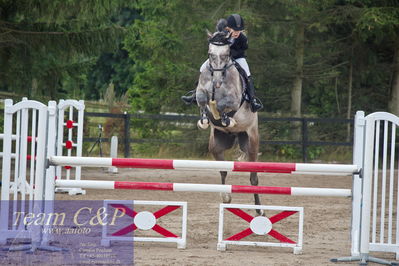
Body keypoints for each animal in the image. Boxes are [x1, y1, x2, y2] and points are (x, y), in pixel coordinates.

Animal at [196, 31, 264, 214]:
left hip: (251, 143)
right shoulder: (201, 91)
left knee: (253, 178)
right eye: (210, 54)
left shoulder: (234, 100)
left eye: (226, 55)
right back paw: (226, 196)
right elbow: (202, 99)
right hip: (217, 144)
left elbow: (222, 105)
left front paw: (224, 117)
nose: (217, 82)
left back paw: (259, 210)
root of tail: (235, 135)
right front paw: (205, 118)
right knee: (223, 171)